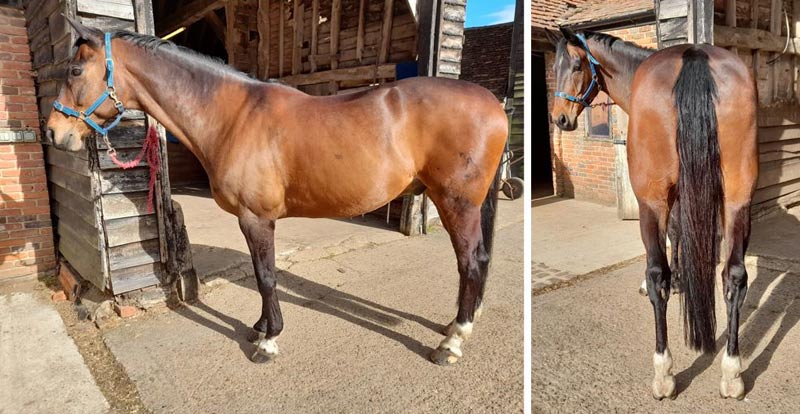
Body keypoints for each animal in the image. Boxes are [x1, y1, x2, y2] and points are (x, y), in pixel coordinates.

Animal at [47, 18, 508, 366]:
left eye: (74, 71)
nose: (54, 133)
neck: (232, 116)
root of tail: (495, 104)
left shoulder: (256, 218)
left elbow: (267, 277)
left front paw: (268, 341)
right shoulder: (252, 221)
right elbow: (259, 274)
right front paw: (259, 329)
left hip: (456, 202)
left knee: (470, 263)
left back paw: (452, 342)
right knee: (480, 261)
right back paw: (458, 323)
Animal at [549, 28, 758, 400]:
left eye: (576, 66)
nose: (560, 118)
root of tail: (694, 57)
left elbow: (670, 241)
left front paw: (674, 280)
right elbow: (682, 234)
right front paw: (683, 279)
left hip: (652, 201)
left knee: (656, 273)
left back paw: (664, 372)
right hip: (738, 197)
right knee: (734, 275)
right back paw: (732, 373)